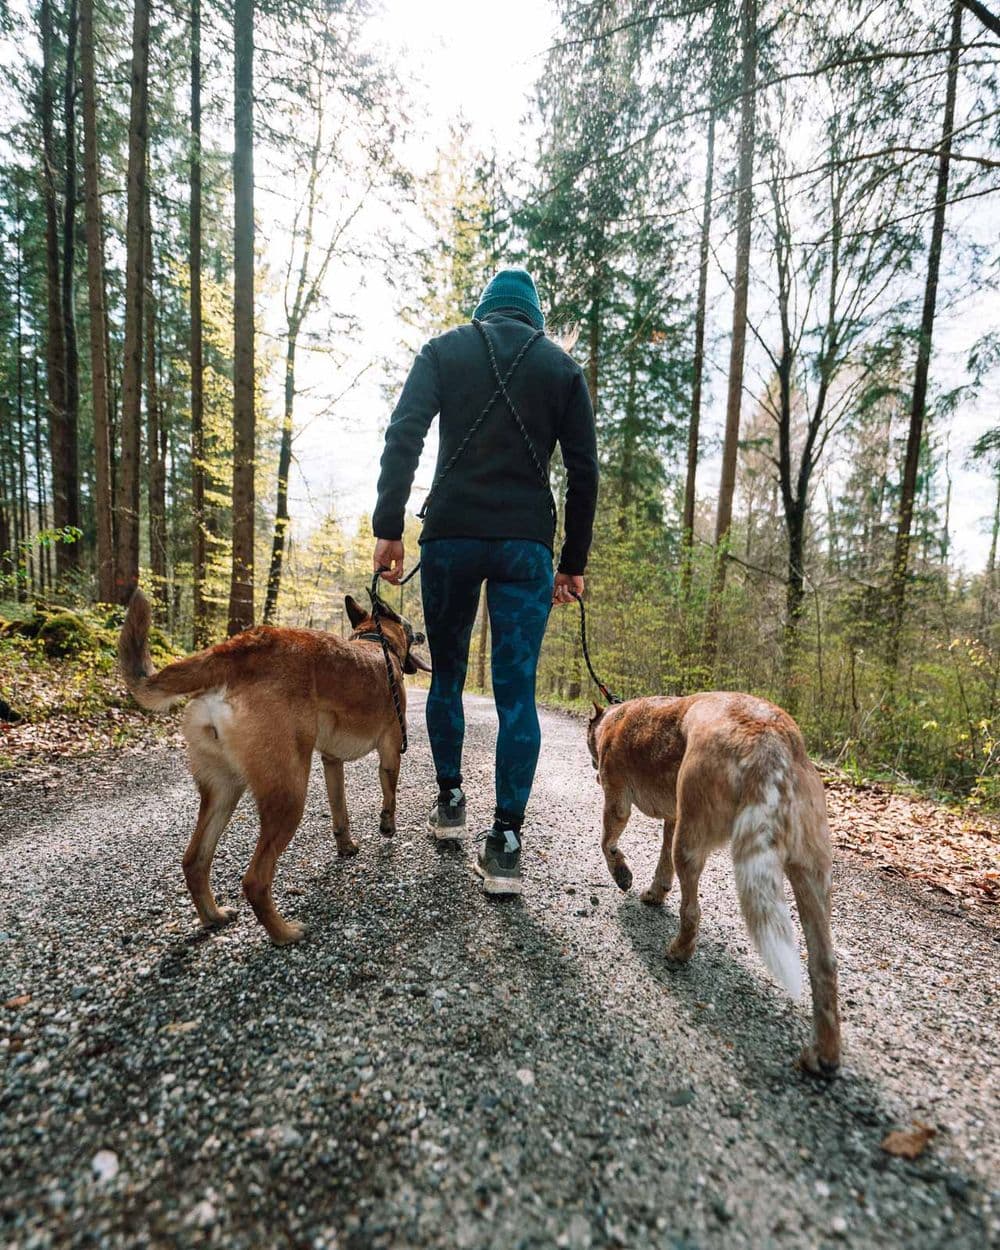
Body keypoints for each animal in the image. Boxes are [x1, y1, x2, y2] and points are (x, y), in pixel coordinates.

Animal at [118, 590, 430, 940]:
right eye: (409, 626)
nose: (423, 635)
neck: (378, 642)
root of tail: (238, 649)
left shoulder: (331, 762)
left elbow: (340, 810)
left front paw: (345, 845)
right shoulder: (391, 751)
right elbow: (390, 795)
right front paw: (387, 826)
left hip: (224, 791)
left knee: (194, 861)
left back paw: (214, 916)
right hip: (289, 796)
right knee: (255, 880)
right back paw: (284, 933)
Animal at [590, 690, 840, 1080]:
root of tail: (770, 741)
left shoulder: (617, 802)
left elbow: (608, 844)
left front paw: (622, 873)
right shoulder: (672, 818)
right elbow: (661, 867)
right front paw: (654, 893)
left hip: (691, 842)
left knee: (692, 910)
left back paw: (679, 951)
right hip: (812, 874)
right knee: (824, 964)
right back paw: (823, 1055)